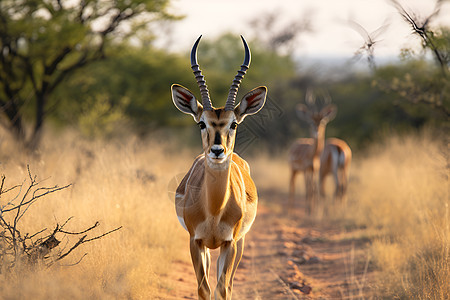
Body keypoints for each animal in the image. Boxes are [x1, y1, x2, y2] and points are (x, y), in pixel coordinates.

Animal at [171, 35, 266, 300]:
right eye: (201, 123)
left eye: (233, 124)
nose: (217, 151)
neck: (213, 209)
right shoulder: (195, 242)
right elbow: (203, 289)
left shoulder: (229, 243)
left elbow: (221, 289)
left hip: (240, 243)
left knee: (229, 285)